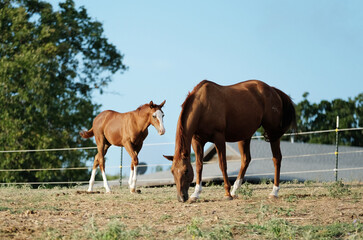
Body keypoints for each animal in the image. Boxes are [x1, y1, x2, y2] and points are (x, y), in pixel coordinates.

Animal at [165, 80, 296, 202]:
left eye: (186, 171)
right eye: (172, 172)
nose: (181, 197)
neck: (204, 105)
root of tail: (273, 90)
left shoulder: (219, 138)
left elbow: (222, 164)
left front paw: (227, 194)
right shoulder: (197, 141)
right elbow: (199, 166)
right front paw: (196, 194)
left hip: (272, 132)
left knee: (276, 158)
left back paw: (274, 192)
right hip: (245, 136)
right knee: (246, 159)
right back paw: (235, 190)